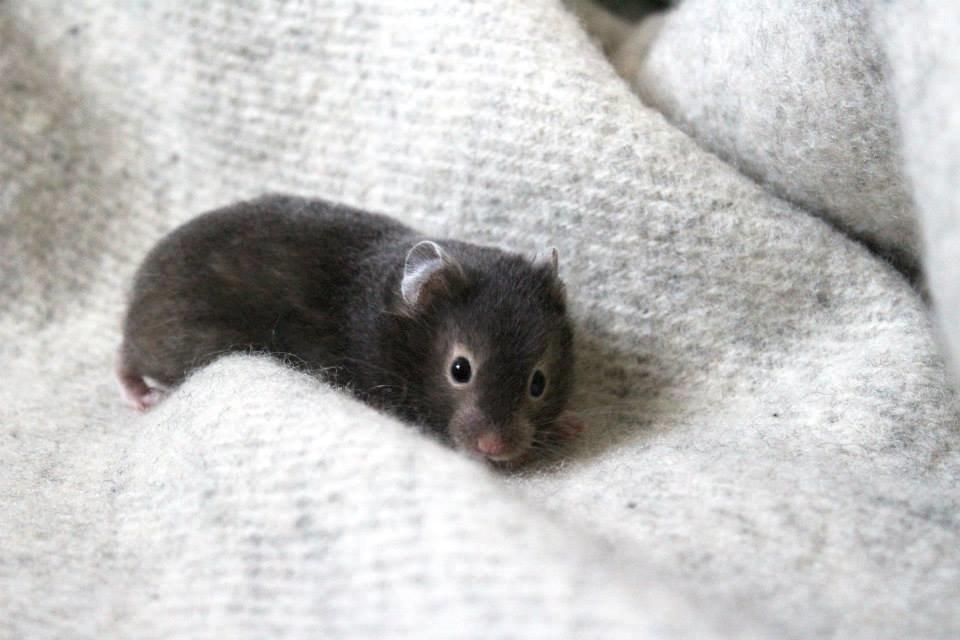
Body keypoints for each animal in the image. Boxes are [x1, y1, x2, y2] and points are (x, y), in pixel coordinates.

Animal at [118, 194, 580, 462]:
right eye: (460, 370)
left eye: (538, 384)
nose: (494, 450)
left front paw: (569, 424)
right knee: (125, 362)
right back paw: (145, 398)